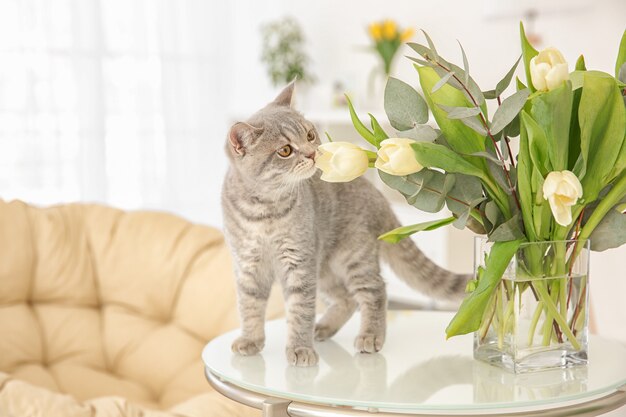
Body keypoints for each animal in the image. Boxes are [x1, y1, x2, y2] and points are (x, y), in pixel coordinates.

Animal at [221, 83, 468, 366]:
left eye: (309, 135)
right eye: (285, 150)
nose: (312, 153)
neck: (264, 210)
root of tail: (377, 194)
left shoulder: (299, 262)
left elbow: (300, 309)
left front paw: (299, 347)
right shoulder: (248, 264)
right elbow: (249, 305)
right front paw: (251, 339)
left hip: (353, 256)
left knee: (375, 290)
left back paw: (370, 335)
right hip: (325, 267)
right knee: (347, 298)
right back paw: (325, 326)